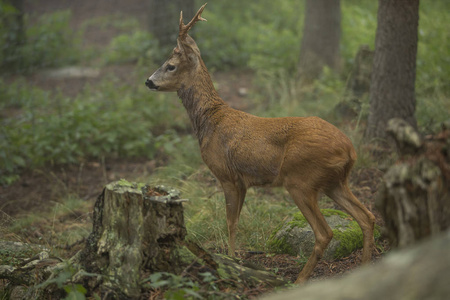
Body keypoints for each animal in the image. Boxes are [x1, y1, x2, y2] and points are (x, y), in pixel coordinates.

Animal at [145, 3, 376, 282]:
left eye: (170, 66)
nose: (148, 81)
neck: (210, 121)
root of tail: (351, 151)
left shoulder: (227, 175)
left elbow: (230, 223)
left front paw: (232, 262)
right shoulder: (243, 181)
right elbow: (236, 221)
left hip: (300, 179)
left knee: (325, 232)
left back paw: (300, 279)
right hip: (335, 182)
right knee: (367, 217)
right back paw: (365, 268)